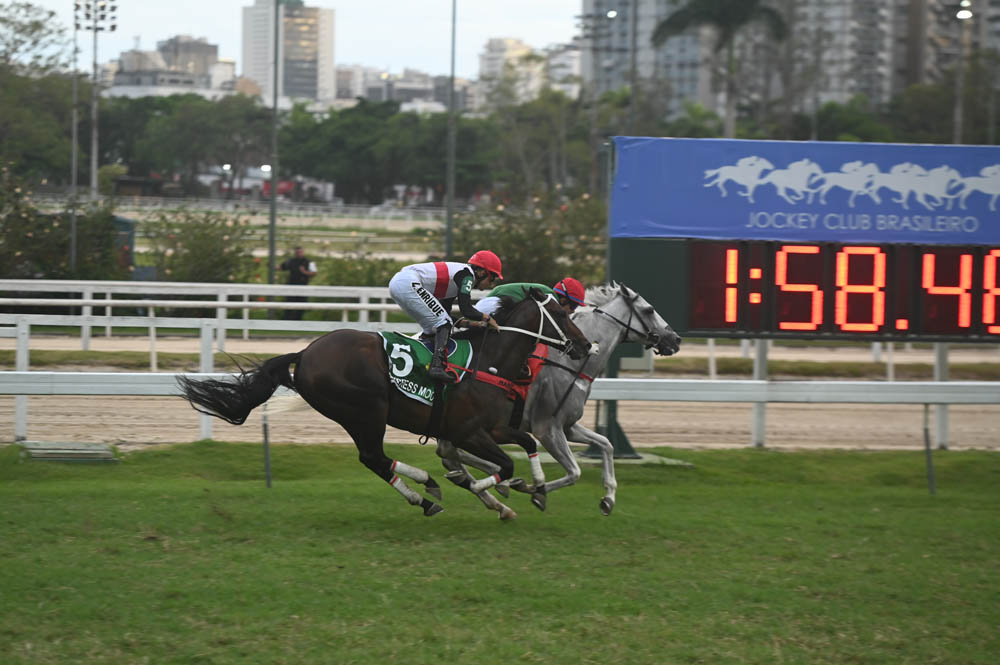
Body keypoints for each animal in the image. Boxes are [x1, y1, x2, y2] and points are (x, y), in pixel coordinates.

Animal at [176, 288, 592, 518]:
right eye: (560, 313)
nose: (586, 345)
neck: (489, 361)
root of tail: (305, 353)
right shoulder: (468, 431)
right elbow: (503, 466)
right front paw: (487, 489)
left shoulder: (492, 428)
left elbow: (526, 442)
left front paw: (535, 488)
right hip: (366, 410)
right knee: (373, 457)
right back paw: (426, 491)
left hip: (357, 415)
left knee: (374, 459)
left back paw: (427, 489)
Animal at [438, 283, 681, 516]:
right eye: (649, 310)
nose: (676, 339)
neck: (571, 367)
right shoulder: (547, 429)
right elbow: (574, 472)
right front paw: (533, 490)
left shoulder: (568, 426)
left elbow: (606, 444)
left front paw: (609, 498)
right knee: (449, 452)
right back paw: (495, 486)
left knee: (449, 454)